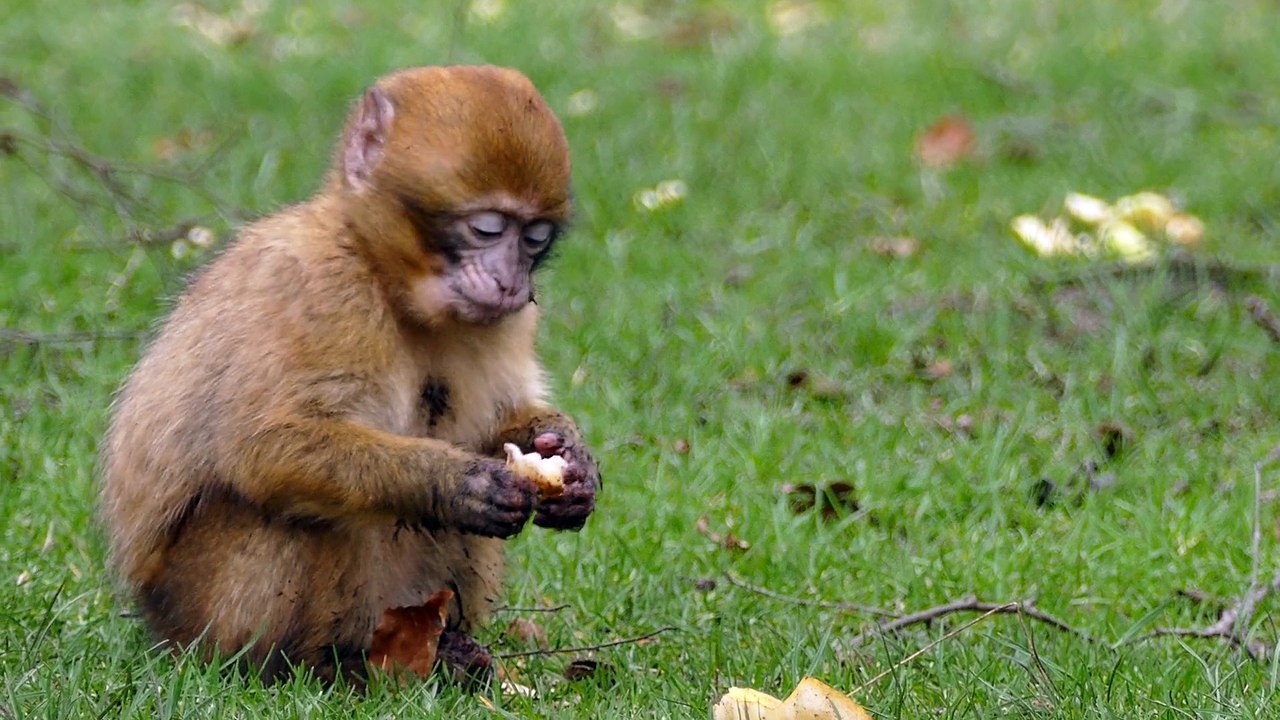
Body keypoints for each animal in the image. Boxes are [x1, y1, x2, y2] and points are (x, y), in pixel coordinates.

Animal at [99, 65, 601, 685]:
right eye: (486, 229)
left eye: (534, 238)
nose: (510, 280)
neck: (386, 279)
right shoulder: (318, 286)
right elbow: (263, 447)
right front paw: (454, 482)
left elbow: (501, 423)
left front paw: (570, 460)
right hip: (197, 613)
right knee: (293, 511)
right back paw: (326, 666)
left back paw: (444, 651)